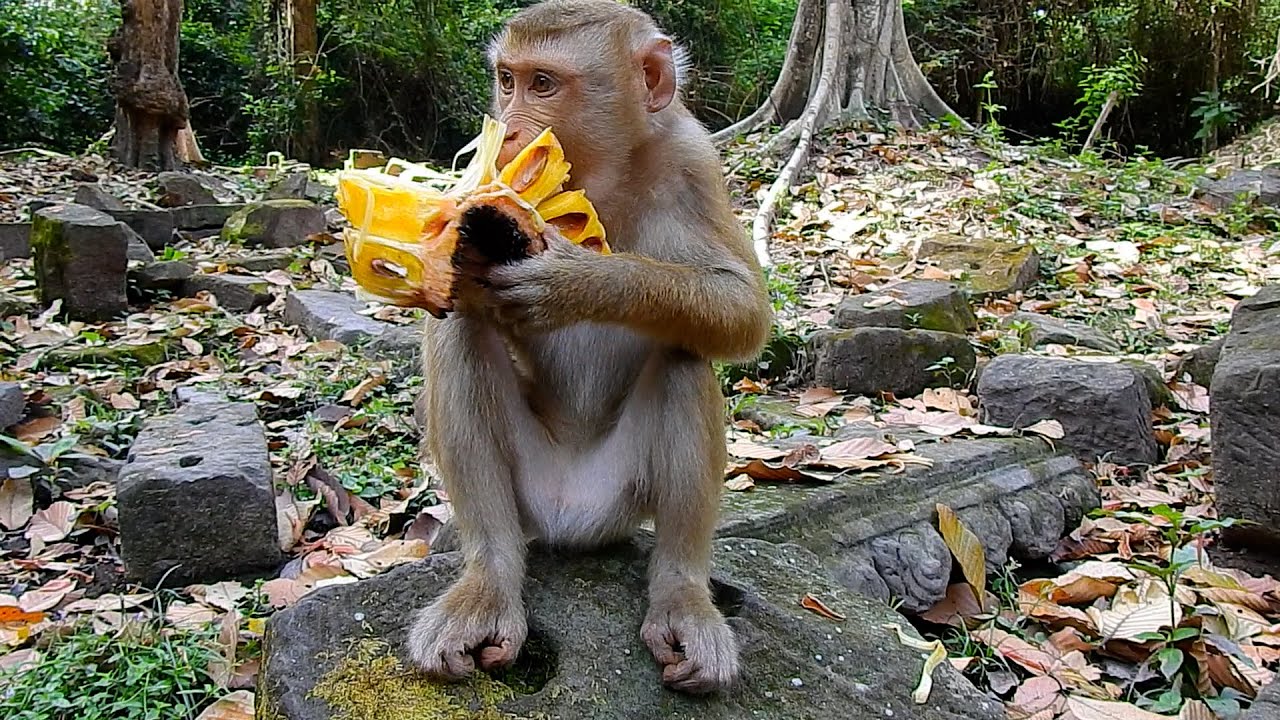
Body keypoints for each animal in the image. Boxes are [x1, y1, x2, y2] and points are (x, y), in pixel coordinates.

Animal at [407, 0, 773, 695]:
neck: (598, 178)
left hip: (619, 498)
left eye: (544, 84)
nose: (508, 132)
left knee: (686, 355)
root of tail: (568, 518)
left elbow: (742, 310)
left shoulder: (694, 156)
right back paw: (488, 580)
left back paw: (682, 595)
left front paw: (576, 282)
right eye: (507, 80)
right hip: (528, 494)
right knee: (459, 331)